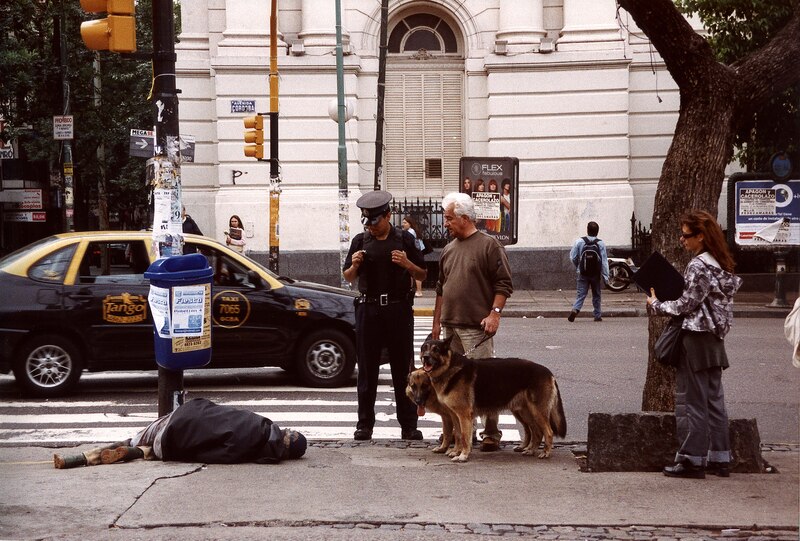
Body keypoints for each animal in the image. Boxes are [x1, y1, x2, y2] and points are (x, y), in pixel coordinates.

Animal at [416, 336, 564, 462]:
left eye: (436, 349)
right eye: (424, 348)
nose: (425, 357)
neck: (449, 368)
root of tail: (548, 372)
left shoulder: (464, 416)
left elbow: (464, 436)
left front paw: (463, 455)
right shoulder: (454, 415)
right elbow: (457, 434)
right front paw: (456, 451)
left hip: (537, 412)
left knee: (548, 432)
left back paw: (545, 452)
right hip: (524, 412)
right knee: (536, 432)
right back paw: (531, 450)